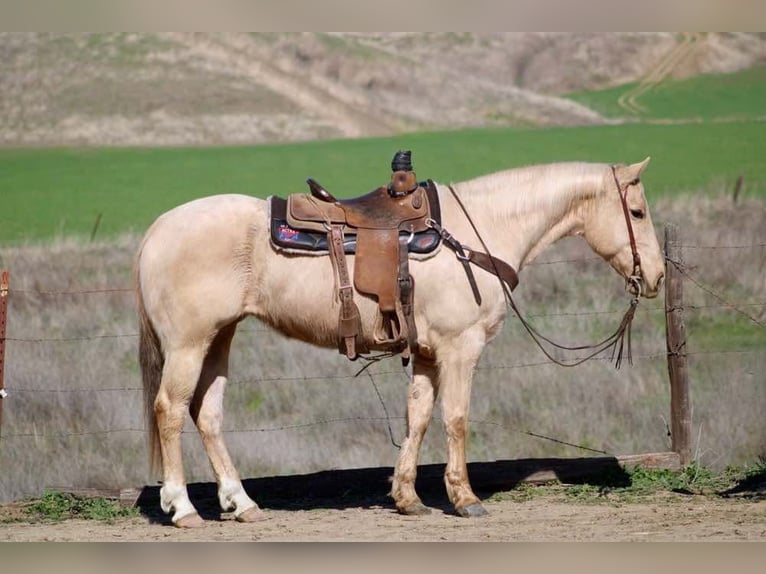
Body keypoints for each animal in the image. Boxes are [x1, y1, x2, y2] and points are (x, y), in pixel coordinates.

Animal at [136, 158, 664, 528]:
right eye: (637, 212)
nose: (657, 276)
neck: (479, 232)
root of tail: (157, 229)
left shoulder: (428, 354)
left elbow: (419, 418)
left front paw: (408, 499)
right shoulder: (460, 349)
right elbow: (455, 419)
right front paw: (465, 499)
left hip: (218, 338)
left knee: (207, 414)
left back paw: (241, 503)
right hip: (188, 344)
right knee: (170, 410)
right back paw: (182, 507)